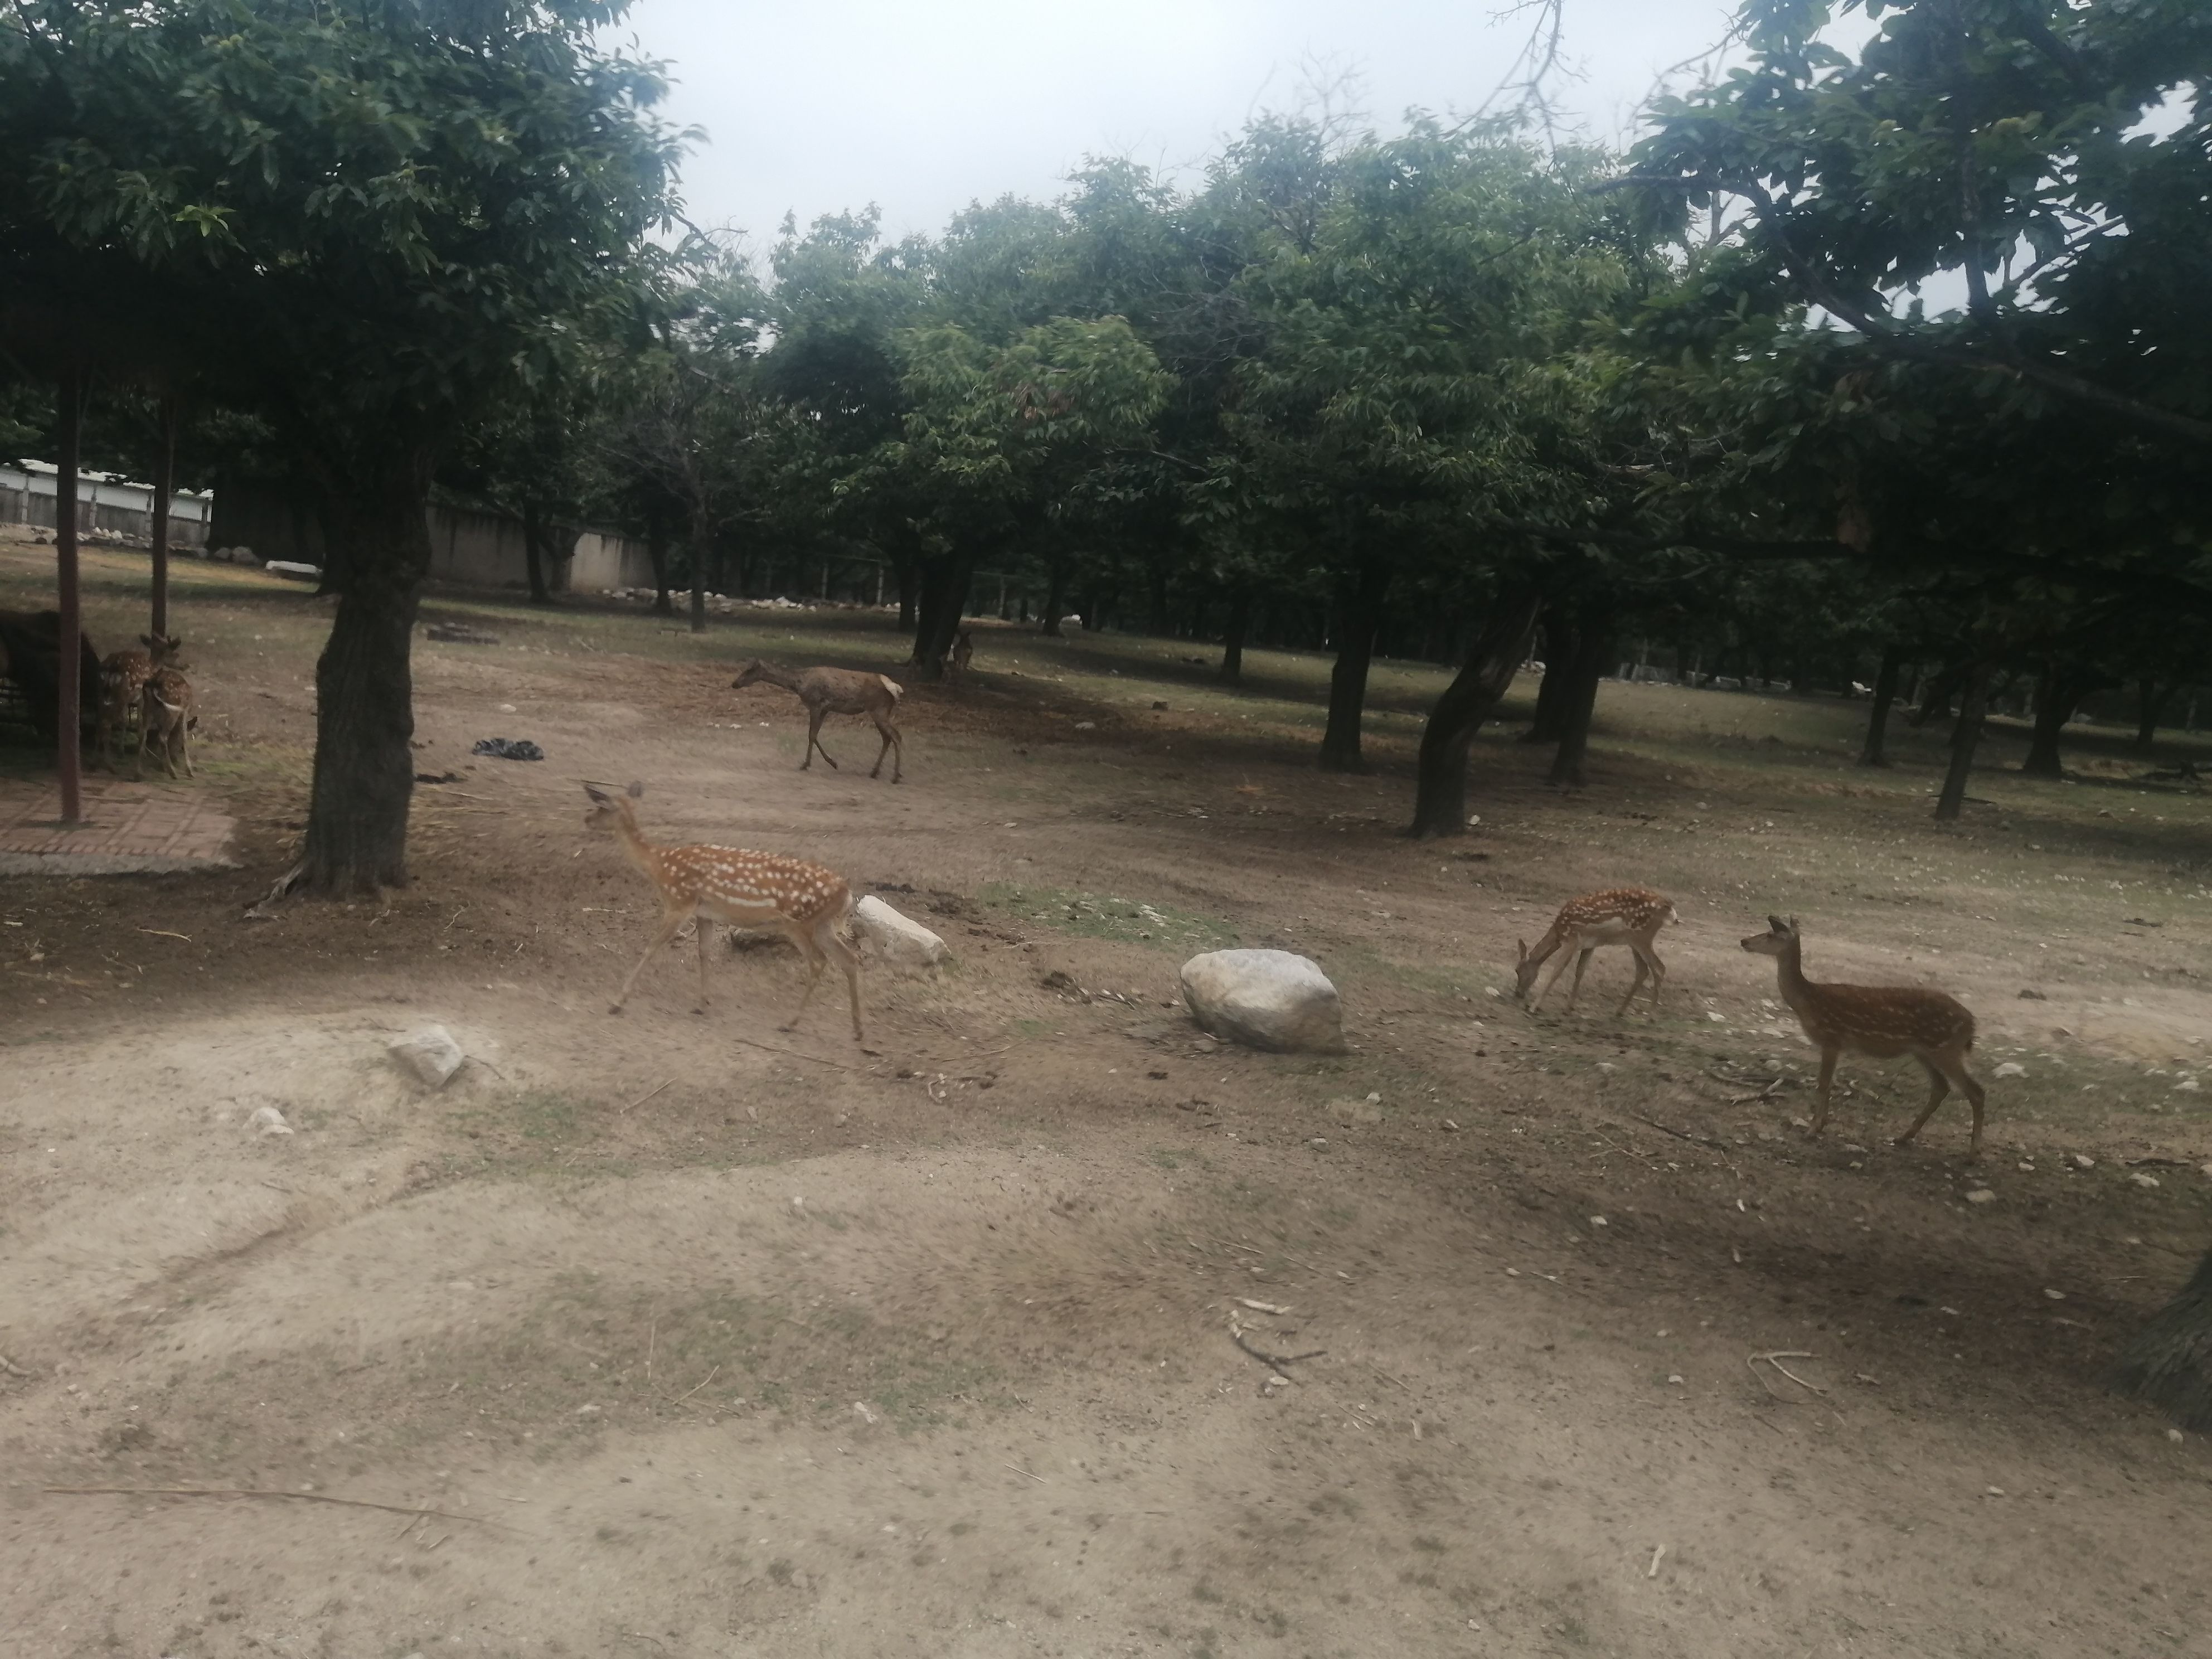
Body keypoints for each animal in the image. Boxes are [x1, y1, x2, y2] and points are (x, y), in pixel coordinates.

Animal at [584, 778, 858, 1039]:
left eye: (601, 807)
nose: (586, 819)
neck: (659, 867)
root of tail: (846, 892)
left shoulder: (679, 902)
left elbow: (652, 947)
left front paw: (617, 1002)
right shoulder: (704, 913)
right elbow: (704, 952)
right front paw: (702, 1004)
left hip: (799, 921)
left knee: (819, 962)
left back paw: (790, 1023)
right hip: (822, 924)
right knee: (849, 958)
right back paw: (858, 1030)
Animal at [734, 663, 906, 787]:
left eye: (749, 670)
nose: (734, 683)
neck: (799, 683)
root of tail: (896, 688)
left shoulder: (816, 704)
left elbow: (811, 734)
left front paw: (806, 764)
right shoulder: (824, 709)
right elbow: (815, 734)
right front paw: (832, 762)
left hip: (879, 710)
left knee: (896, 736)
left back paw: (895, 776)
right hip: (879, 712)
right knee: (887, 738)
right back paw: (875, 772)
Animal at [1513, 889, 1681, 1022]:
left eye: (1518, 971)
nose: (1518, 993)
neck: (1559, 933)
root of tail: (1670, 910)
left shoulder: (1572, 940)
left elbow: (1557, 971)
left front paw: (1534, 1007)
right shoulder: (1589, 945)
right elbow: (1580, 971)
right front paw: (1568, 1007)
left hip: (1641, 936)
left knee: (1659, 968)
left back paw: (1650, 1017)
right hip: (1635, 941)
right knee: (1643, 970)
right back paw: (1619, 1012)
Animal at [1743, 915, 1991, 1159]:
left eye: (1770, 935)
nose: (1744, 941)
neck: (1807, 1002)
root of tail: (1971, 1023)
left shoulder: (1832, 1038)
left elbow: (1823, 1085)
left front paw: (1811, 1130)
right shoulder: (1835, 1044)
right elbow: (1829, 1085)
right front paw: (1820, 1126)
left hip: (1946, 1048)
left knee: (1976, 1091)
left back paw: (1973, 1153)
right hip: (1924, 1050)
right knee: (1941, 1087)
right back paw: (1904, 1137)